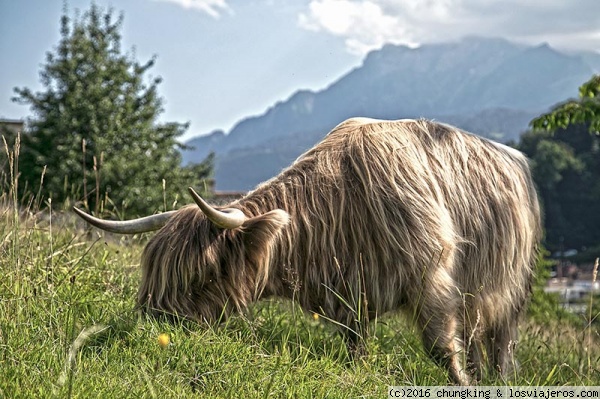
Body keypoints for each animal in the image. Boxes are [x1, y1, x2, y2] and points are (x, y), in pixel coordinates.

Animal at [74, 118, 540, 384]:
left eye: (202, 275)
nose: (153, 326)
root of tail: (517, 159)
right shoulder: (352, 296)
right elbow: (355, 345)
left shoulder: (432, 279)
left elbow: (442, 348)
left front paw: (462, 386)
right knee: (477, 336)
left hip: (508, 288)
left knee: (500, 341)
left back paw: (497, 382)